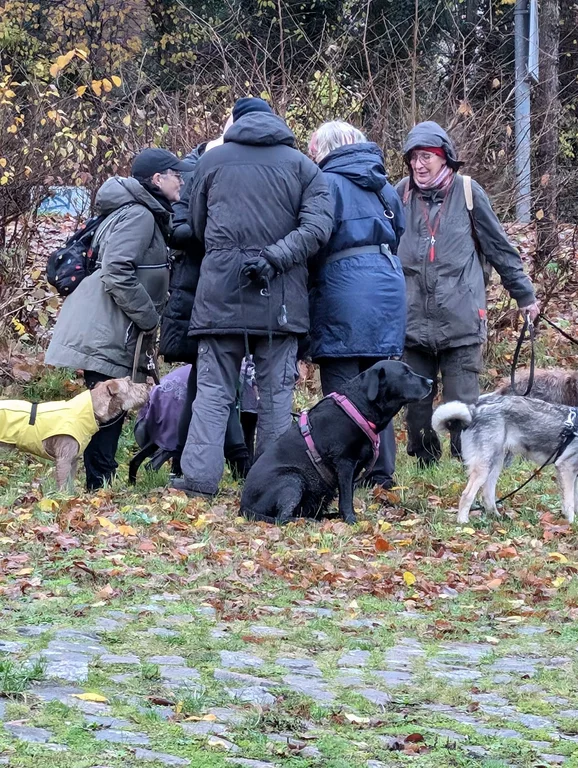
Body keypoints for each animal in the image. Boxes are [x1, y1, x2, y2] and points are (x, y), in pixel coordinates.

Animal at [0, 377, 150, 490]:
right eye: (130, 383)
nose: (147, 386)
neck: (91, 409)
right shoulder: (64, 458)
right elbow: (62, 485)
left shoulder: (73, 459)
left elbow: (70, 484)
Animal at [240, 361, 432, 525]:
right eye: (405, 373)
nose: (431, 382)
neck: (358, 407)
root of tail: (243, 507)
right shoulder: (345, 463)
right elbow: (346, 497)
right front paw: (351, 520)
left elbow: (347, 495)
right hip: (292, 479)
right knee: (282, 518)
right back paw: (307, 521)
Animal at [433, 395, 578, 524]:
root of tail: (474, 409)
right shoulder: (566, 468)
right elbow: (569, 502)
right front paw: (571, 524)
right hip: (483, 467)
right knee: (467, 495)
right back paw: (463, 521)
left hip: (495, 464)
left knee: (487, 495)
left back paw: (496, 517)